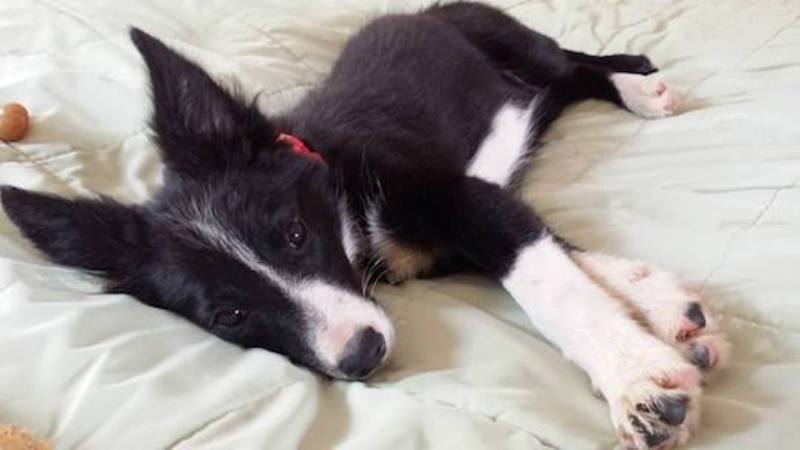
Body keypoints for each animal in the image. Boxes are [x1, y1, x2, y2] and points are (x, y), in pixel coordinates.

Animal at [1, 1, 724, 448]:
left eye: (295, 235)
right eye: (230, 316)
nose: (363, 355)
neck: (342, 192)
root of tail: (423, 9)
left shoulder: (459, 196)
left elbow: (549, 282)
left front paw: (637, 379)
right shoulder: (467, 220)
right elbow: (562, 253)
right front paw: (664, 307)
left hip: (510, 38)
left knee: (570, 61)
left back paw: (639, 85)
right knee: (559, 85)